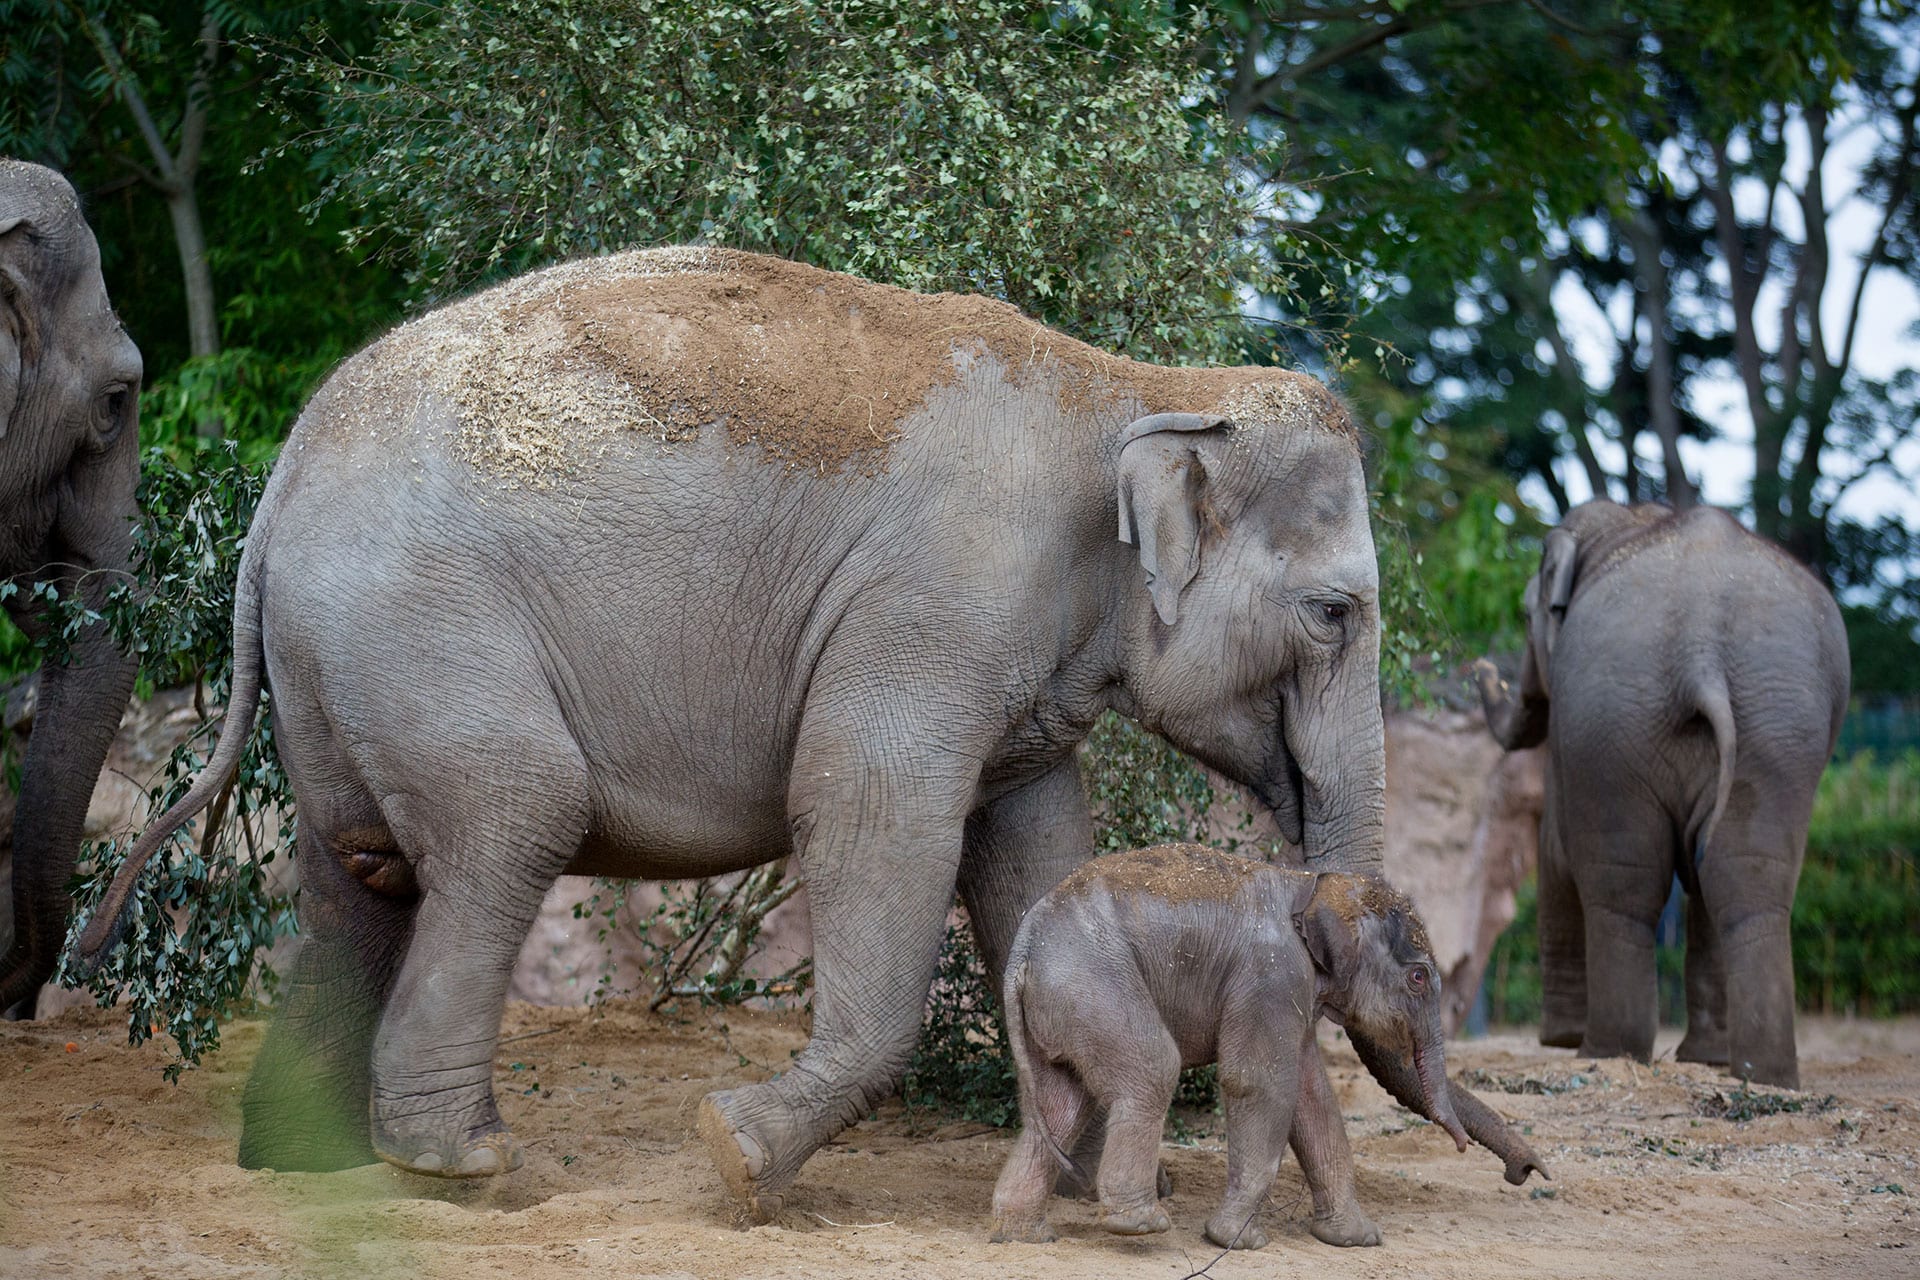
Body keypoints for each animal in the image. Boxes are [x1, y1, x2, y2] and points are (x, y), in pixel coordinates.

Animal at [998, 844, 1459, 1243]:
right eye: (1418, 978)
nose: (1461, 1146)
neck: (1311, 884)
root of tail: (1023, 947)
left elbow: (1314, 1098)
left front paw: (1357, 1239)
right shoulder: (1271, 977)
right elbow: (1259, 1084)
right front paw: (1237, 1240)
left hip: (1063, 1008)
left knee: (1059, 1104)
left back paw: (1024, 1234)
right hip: (1094, 987)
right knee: (1153, 1068)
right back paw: (1142, 1224)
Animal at [1482, 502, 1843, 1090]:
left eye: (1523, 614)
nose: (1483, 669)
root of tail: (1702, 653)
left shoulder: (1568, 736)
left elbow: (1555, 848)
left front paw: (1557, 1039)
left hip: (1613, 723)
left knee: (1624, 886)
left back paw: (1604, 1053)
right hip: (1776, 730)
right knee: (1743, 877)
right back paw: (1757, 1075)